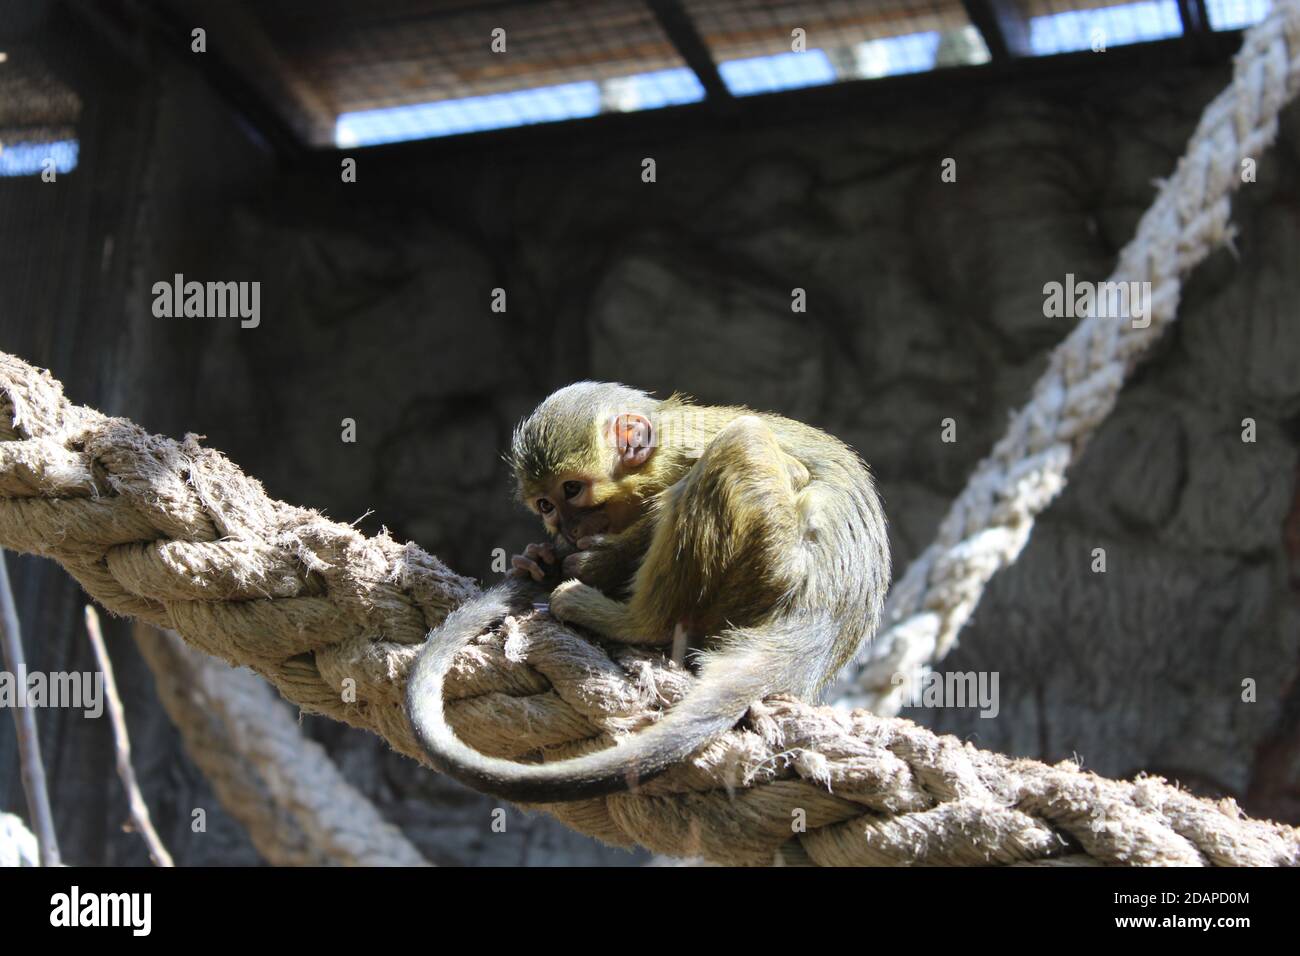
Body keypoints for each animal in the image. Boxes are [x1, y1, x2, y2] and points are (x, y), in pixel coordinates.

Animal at [406, 382, 889, 803]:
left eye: (572, 489)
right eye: (546, 505)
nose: (568, 529)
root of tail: (819, 623)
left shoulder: (680, 453)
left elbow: (787, 471)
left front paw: (593, 563)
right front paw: (537, 558)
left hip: (773, 572)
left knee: (742, 441)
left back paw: (633, 623)